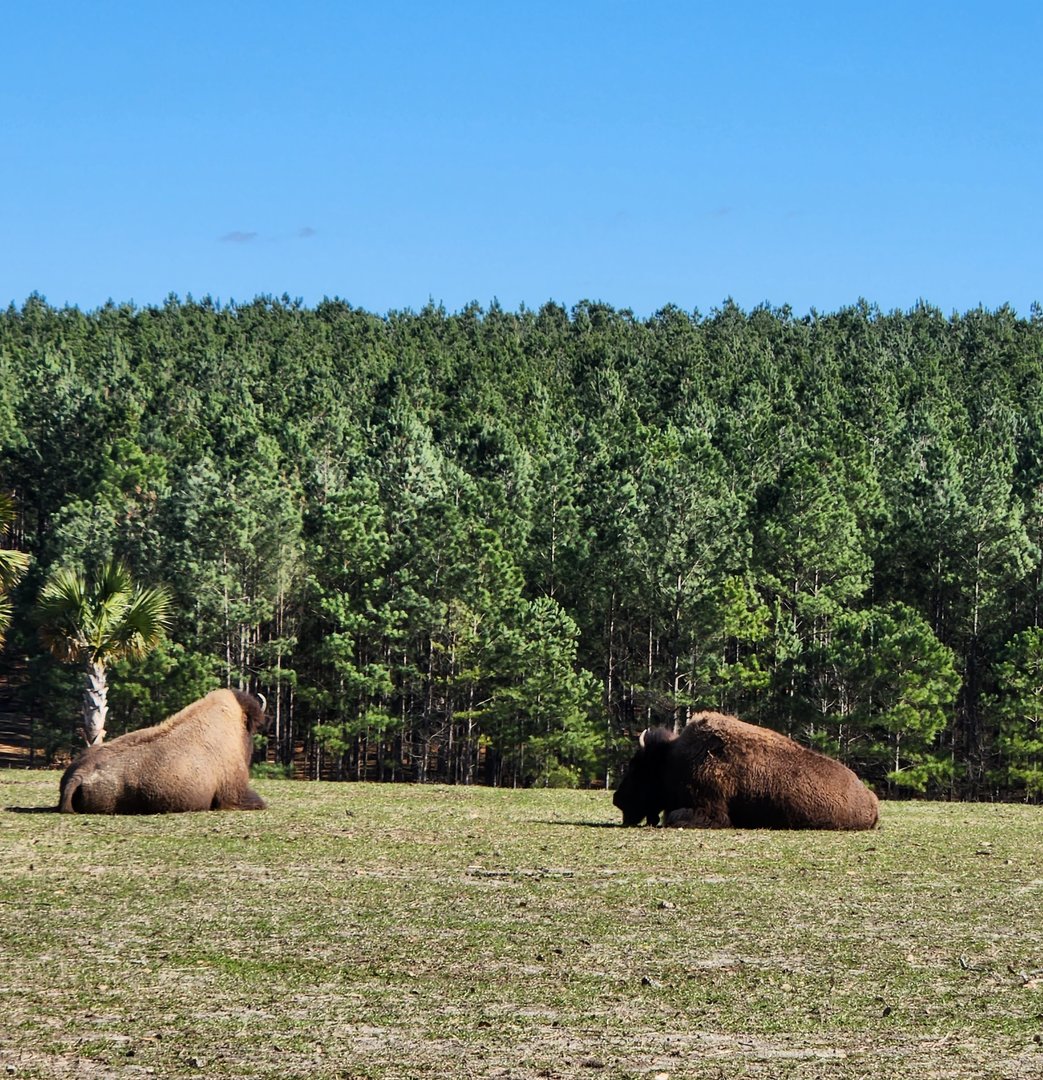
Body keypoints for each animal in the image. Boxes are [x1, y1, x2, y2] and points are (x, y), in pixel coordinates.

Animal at [613, 711, 879, 830]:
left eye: (637, 766)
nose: (617, 799)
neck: (670, 759)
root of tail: (873, 802)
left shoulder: (710, 811)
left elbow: (672, 816)